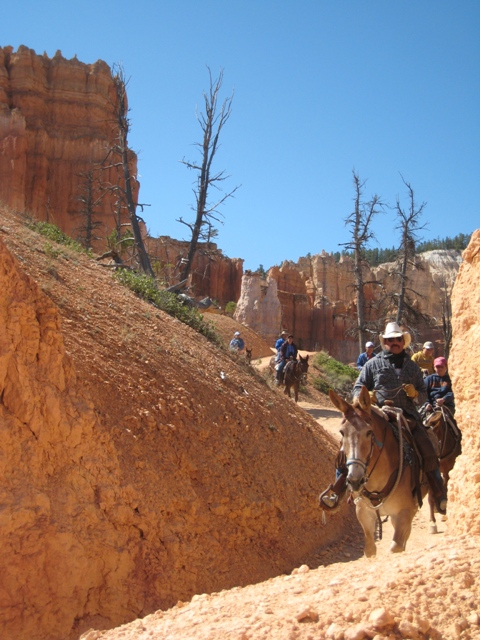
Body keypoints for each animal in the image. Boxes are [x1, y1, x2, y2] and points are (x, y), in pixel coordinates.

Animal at [328, 384, 426, 556]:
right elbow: (370, 549)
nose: (355, 480)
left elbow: (396, 547)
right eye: (342, 432)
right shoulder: (364, 512)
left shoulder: (404, 514)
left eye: (369, 432)